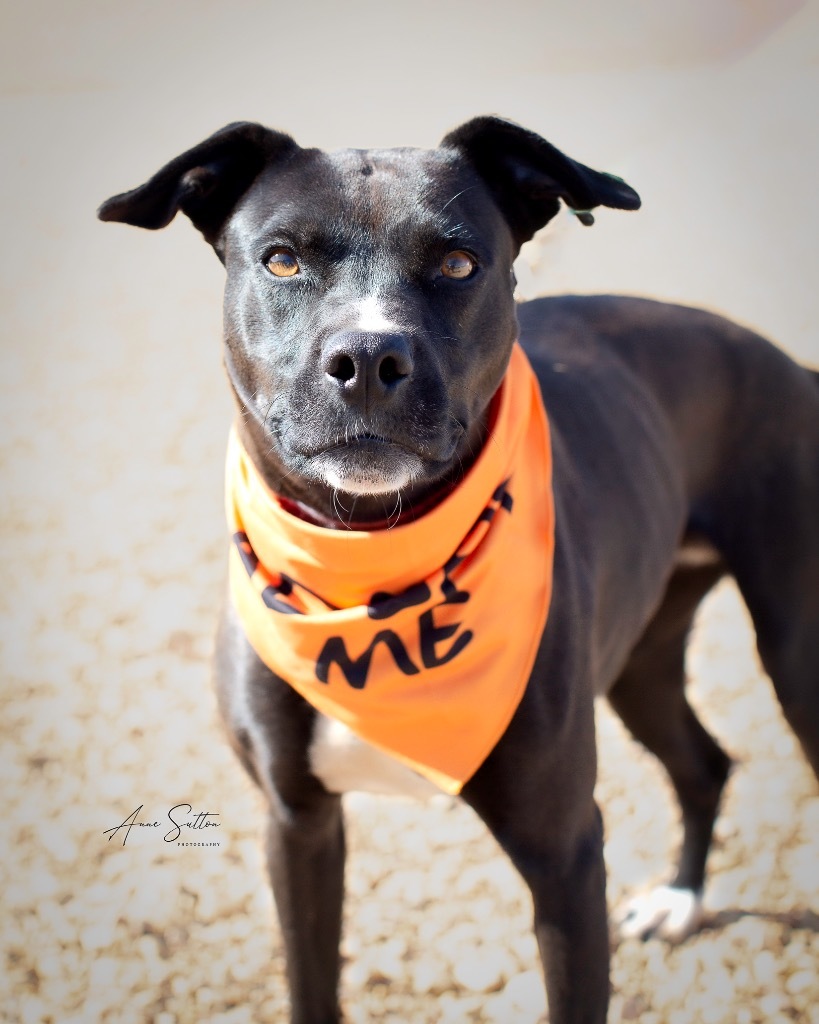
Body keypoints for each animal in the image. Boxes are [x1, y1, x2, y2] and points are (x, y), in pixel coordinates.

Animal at [97, 116, 818, 1019]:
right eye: (282, 260)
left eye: (457, 264)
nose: (367, 361)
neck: (372, 575)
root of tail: (788, 362)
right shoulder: (297, 823)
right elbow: (310, 982)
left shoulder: (562, 851)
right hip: (641, 657)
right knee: (703, 764)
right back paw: (679, 902)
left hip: (791, 650)